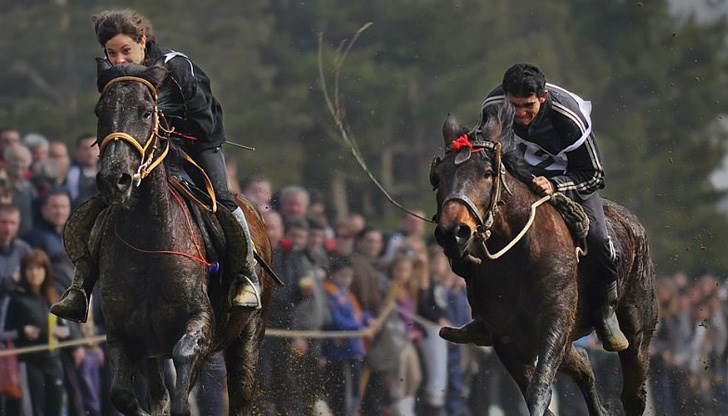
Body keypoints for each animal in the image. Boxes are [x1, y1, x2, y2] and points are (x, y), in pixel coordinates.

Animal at [90, 62, 272, 416]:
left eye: (146, 111)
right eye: (100, 112)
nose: (115, 179)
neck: (149, 244)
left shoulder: (199, 323)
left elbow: (184, 368)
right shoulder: (124, 335)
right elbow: (123, 394)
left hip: (248, 336)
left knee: (241, 393)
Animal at [432, 101, 660, 416]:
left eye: (487, 172)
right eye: (439, 175)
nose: (453, 232)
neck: (515, 258)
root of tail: (634, 225)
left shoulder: (555, 319)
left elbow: (539, 390)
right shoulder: (508, 336)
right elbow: (534, 390)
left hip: (637, 330)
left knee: (633, 392)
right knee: (583, 364)